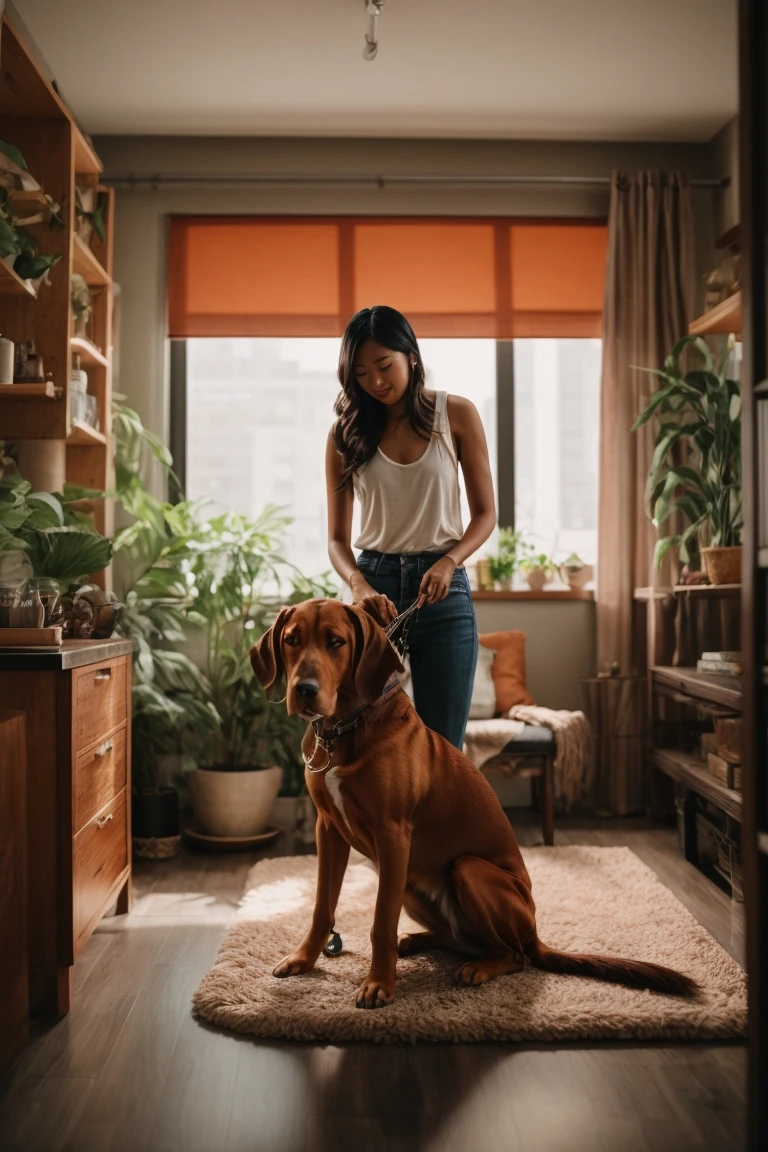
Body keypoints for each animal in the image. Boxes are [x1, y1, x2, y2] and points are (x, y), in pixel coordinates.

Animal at [251, 599, 695, 1013]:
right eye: (291, 639)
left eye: (336, 642)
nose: (304, 690)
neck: (345, 728)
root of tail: (535, 932)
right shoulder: (328, 829)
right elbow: (321, 907)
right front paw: (303, 960)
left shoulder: (393, 834)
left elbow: (379, 920)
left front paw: (379, 984)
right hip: (411, 882)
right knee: (459, 938)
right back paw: (417, 942)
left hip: (466, 870)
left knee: (513, 955)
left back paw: (478, 968)